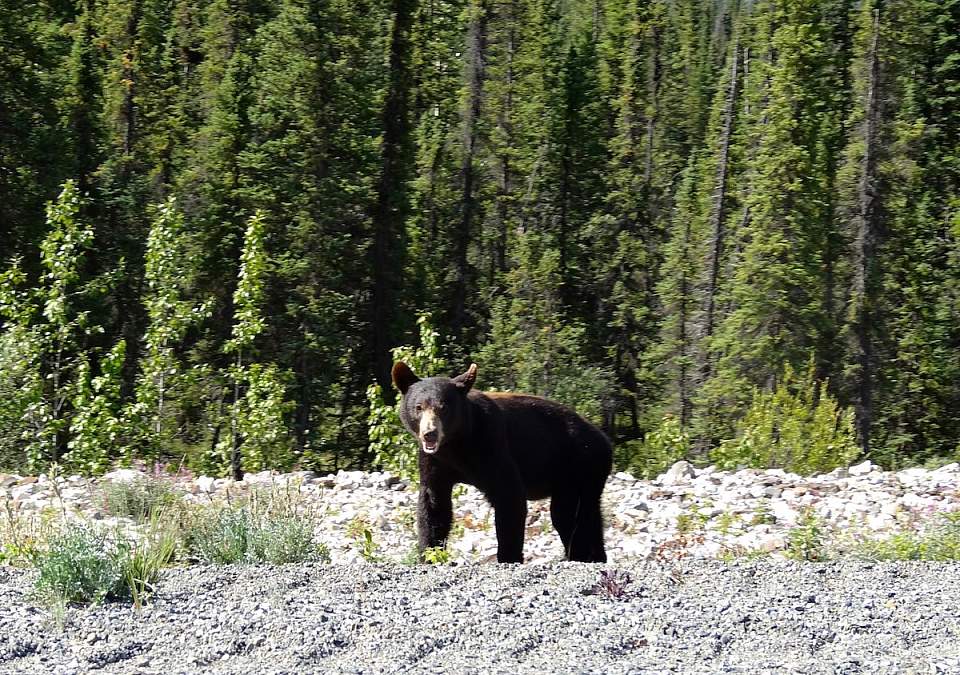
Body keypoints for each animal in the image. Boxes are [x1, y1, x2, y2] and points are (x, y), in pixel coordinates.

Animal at [392, 361, 613, 563]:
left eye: (443, 407)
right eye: (419, 407)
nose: (430, 433)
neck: (456, 444)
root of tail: (603, 439)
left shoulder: (492, 445)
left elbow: (509, 496)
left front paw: (508, 556)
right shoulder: (435, 461)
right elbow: (434, 503)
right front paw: (429, 554)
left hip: (579, 465)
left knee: (568, 515)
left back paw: (579, 555)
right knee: (590, 517)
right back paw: (596, 556)